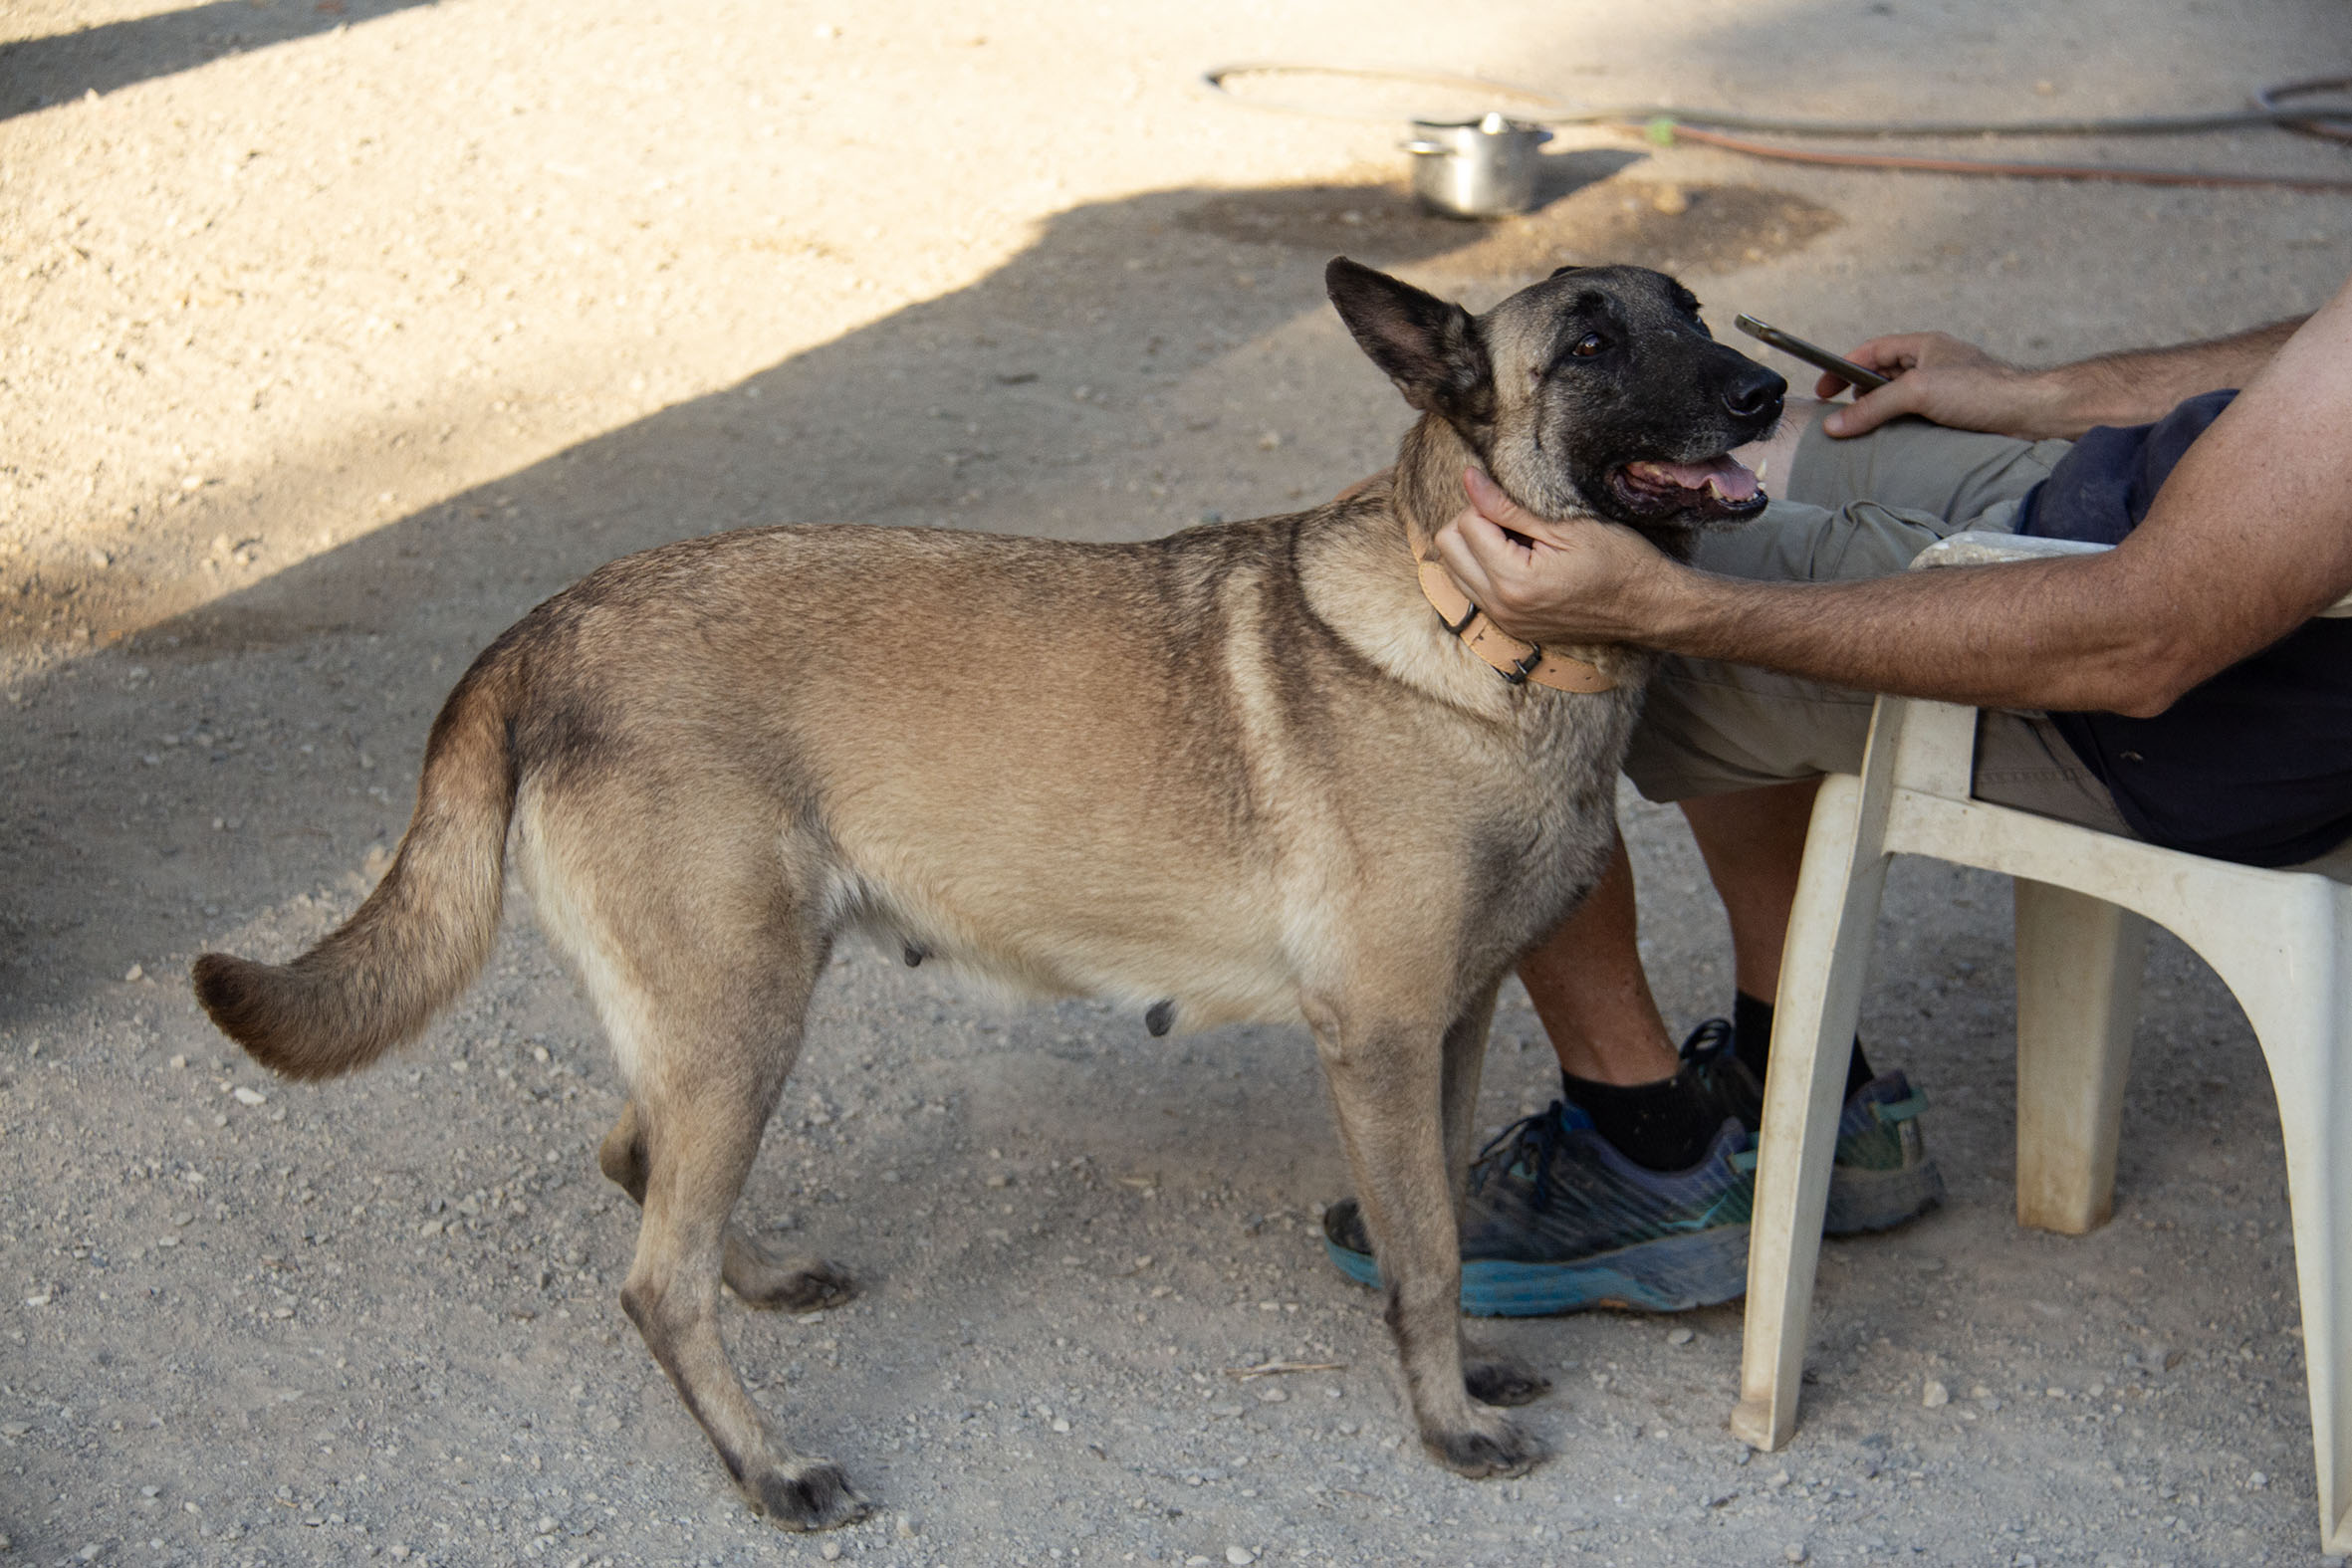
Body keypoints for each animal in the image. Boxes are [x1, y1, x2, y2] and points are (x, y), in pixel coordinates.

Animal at [192, 257, 1783, 1529]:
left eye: (1692, 311)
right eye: (1589, 343)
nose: (1768, 386)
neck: (1477, 637)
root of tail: (542, 628)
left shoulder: (1448, 1030)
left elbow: (1438, 1221)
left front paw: (1463, 1374)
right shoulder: (1383, 1043)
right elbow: (1428, 1254)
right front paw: (1446, 1424)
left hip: (714, 1027)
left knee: (641, 1165)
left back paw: (760, 1277)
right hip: (745, 1018)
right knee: (656, 1277)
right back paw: (769, 1466)